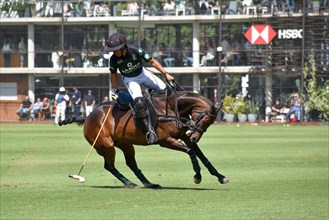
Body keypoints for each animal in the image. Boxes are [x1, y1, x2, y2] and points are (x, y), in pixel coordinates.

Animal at [62, 90, 229, 188]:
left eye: (210, 122)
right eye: (206, 119)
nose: (194, 137)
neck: (171, 108)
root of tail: (88, 117)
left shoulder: (183, 136)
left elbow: (202, 156)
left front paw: (221, 177)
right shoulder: (165, 141)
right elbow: (191, 152)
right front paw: (197, 177)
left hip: (125, 144)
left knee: (130, 163)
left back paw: (148, 183)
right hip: (105, 146)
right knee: (109, 166)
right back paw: (130, 184)